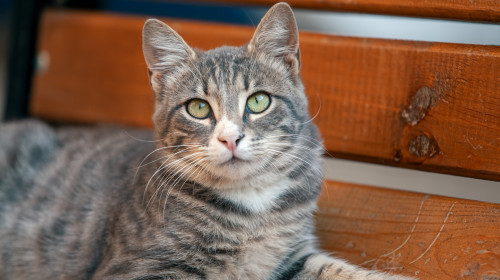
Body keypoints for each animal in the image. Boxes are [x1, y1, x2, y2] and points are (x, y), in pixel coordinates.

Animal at [0, 2, 414, 280]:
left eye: (258, 101)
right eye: (198, 107)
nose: (231, 138)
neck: (252, 210)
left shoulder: (291, 256)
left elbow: (335, 269)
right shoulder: (140, 267)